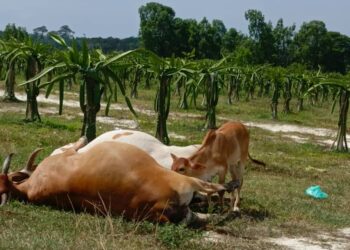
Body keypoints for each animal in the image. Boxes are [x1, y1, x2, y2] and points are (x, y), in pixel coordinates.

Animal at [0, 141, 239, 225]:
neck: (28, 189)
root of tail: (159, 207)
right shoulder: (67, 152)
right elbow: (77, 143)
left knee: (207, 216)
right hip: (186, 180)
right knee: (212, 189)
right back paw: (231, 189)